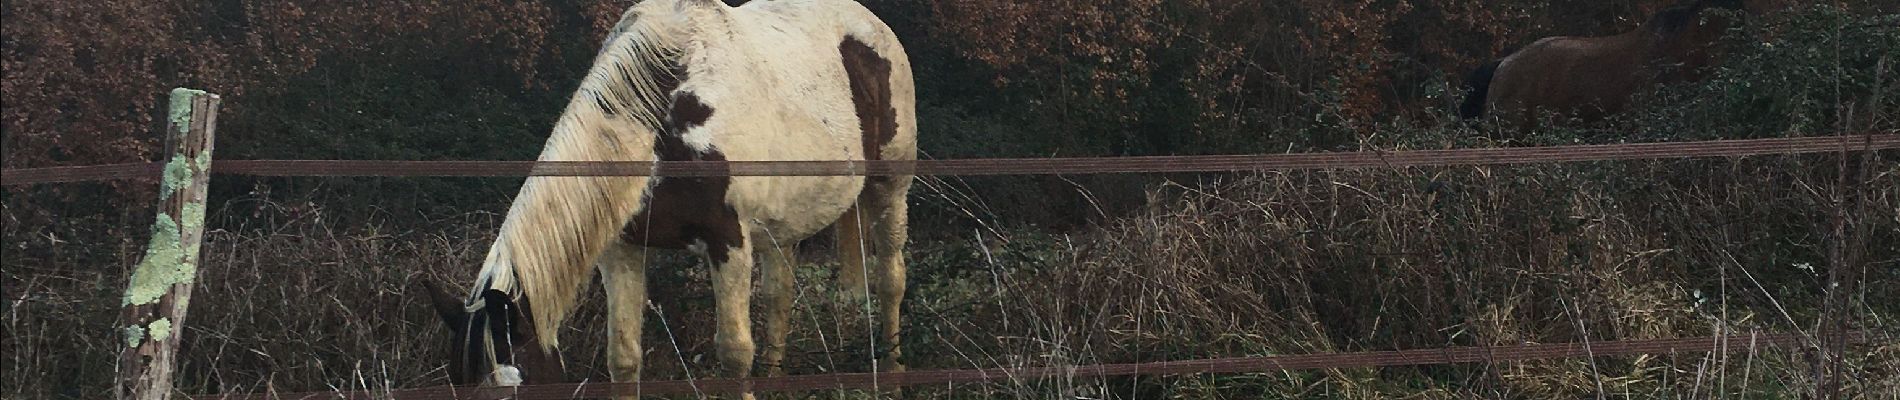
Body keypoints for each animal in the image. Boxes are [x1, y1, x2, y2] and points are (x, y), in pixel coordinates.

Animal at [427, 0, 915, 396]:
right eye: (460, 385)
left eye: (515, 387)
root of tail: (872, 25)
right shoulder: (620, 251)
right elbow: (623, 358)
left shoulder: (728, 243)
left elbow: (734, 352)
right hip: (784, 224)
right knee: (780, 296)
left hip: (891, 187)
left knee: (891, 279)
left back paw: (893, 375)